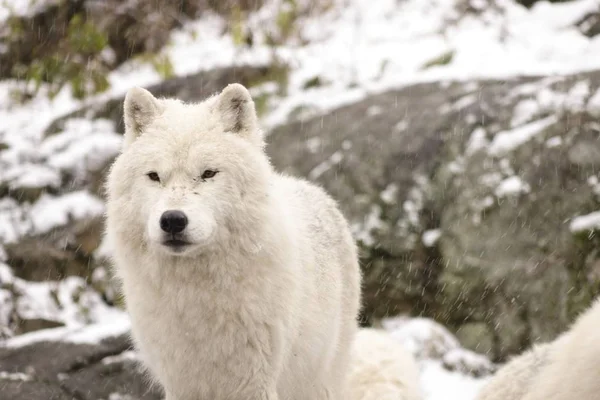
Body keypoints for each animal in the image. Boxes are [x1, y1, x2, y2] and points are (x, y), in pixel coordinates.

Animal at [104, 83, 360, 398]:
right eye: (154, 176)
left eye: (208, 174)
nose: (173, 220)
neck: (194, 296)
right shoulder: (180, 383)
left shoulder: (253, 382)